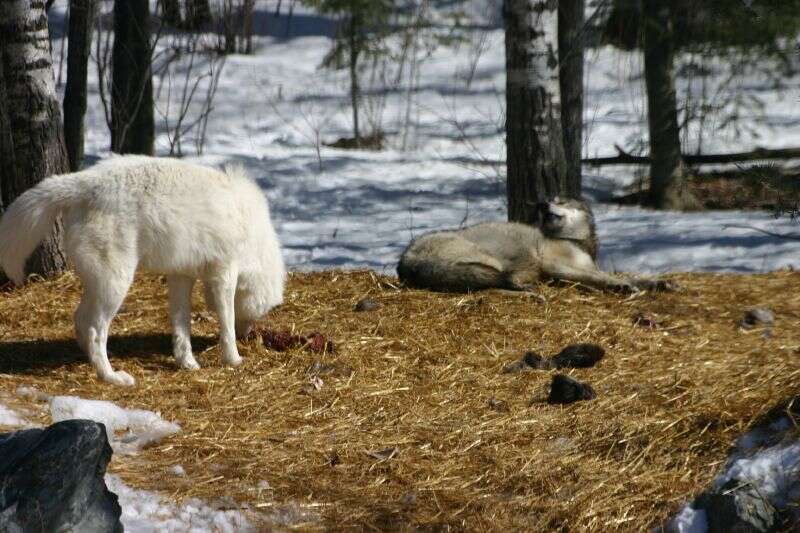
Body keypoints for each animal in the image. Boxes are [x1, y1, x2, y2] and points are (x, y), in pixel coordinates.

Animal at [0, 156, 286, 384]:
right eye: (258, 314)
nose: (248, 336)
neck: (255, 239)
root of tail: (83, 181)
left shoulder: (181, 276)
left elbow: (181, 325)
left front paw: (187, 362)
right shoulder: (224, 271)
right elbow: (226, 322)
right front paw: (233, 358)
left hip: (100, 284)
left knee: (80, 321)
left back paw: (91, 361)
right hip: (116, 285)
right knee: (94, 330)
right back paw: (111, 376)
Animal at [396, 197, 672, 294]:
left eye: (560, 200)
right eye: (550, 200)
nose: (542, 204)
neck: (576, 242)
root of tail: (406, 261)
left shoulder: (580, 268)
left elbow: (629, 276)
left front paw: (657, 283)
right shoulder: (554, 265)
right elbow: (602, 277)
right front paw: (620, 286)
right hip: (496, 260)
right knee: (501, 283)